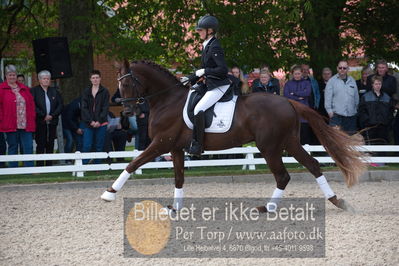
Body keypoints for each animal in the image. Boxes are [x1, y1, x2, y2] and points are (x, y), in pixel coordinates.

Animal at [101, 60, 368, 212]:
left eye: (127, 84)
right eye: (119, 85)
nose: (128, 111)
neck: (168, 100)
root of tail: (287, 101)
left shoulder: (160, 144)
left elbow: (133, 163)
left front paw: (109, 193)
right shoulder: (174, 148)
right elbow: (178, 178)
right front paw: (174, 208)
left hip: (269, 147)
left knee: (283, 175)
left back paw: (268, 208)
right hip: (289, 142)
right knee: (312, 165)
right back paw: (336, 201)